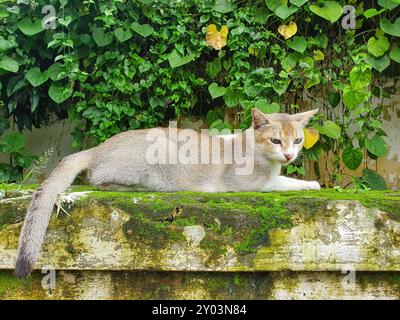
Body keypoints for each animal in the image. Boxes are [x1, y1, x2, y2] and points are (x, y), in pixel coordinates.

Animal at [15, 107, 320, 278]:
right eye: (276, 140)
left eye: (297, 140)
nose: (290, 155)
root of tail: (99, 148)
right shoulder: (249, 184)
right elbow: (283, 182)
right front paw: (311, 184)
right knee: (99, 180)